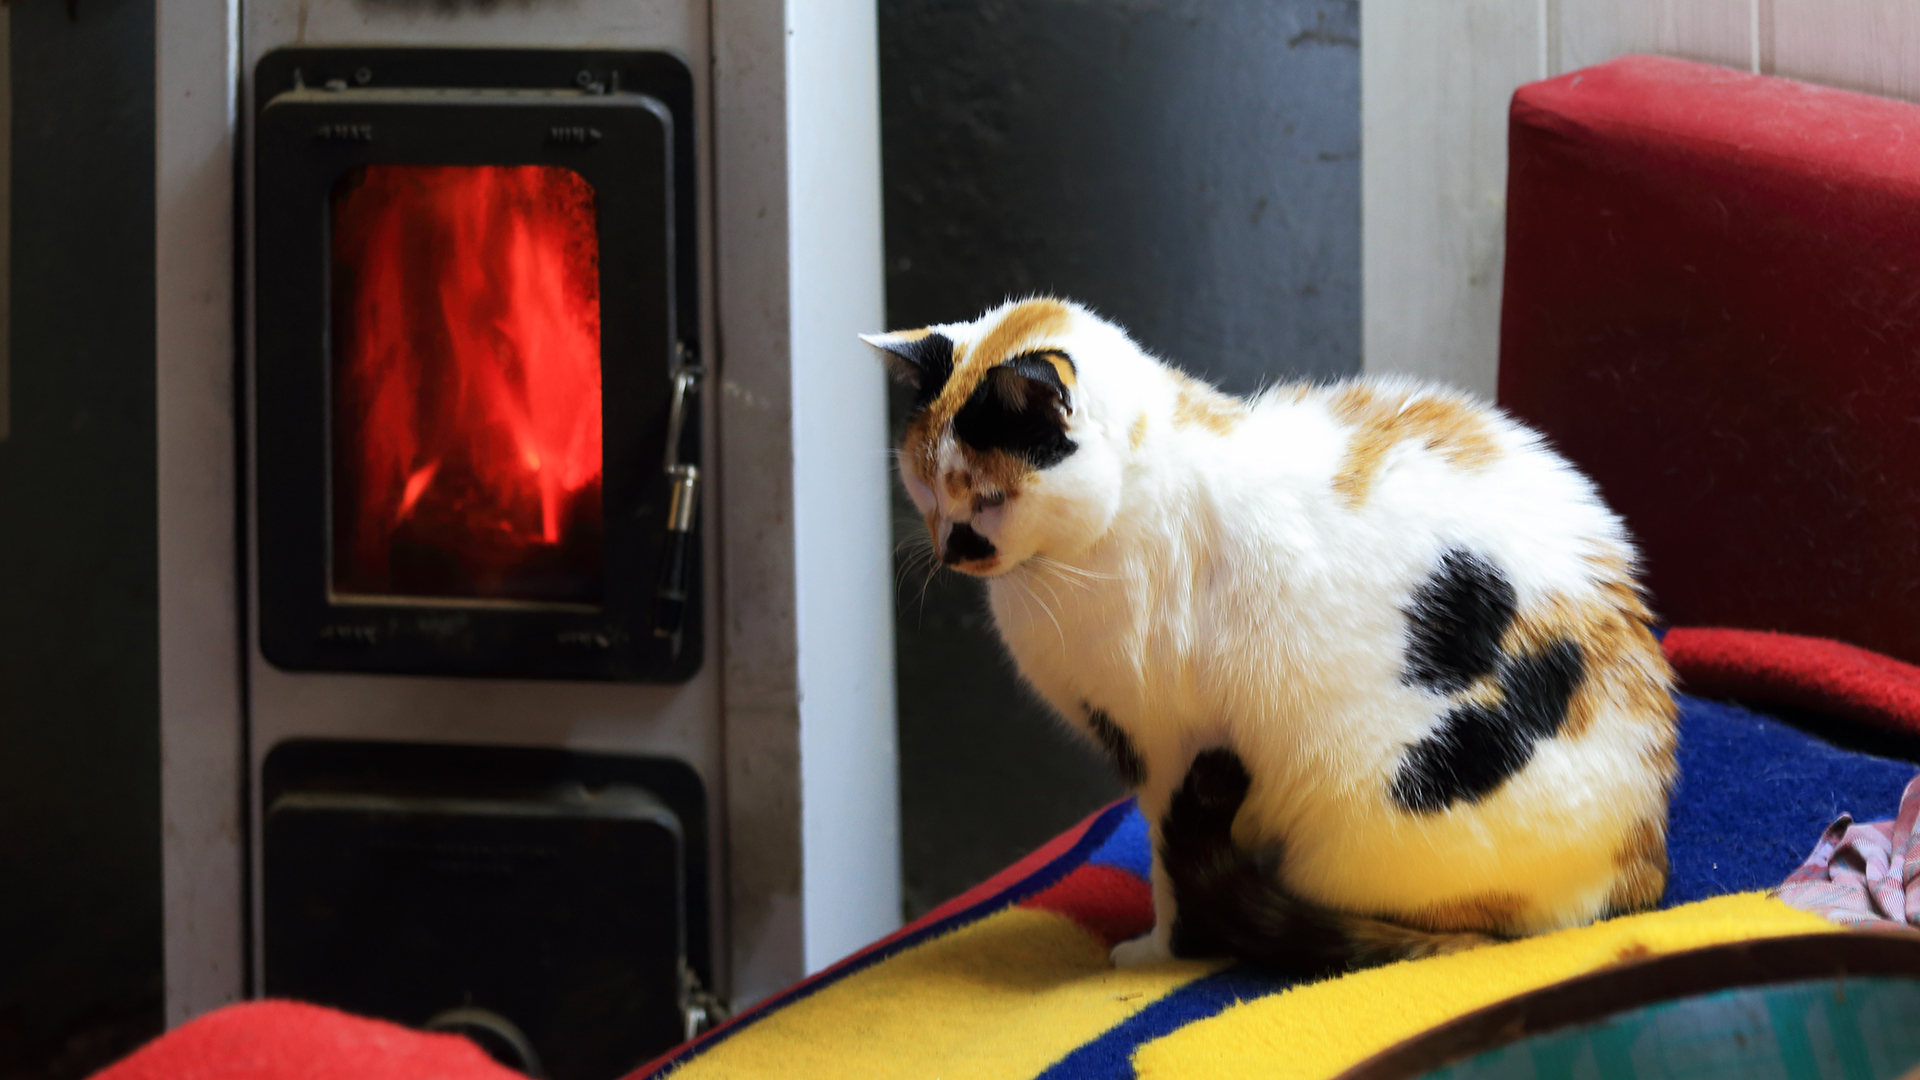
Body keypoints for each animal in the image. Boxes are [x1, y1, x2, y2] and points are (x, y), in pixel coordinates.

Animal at [871, 294, 1681, 976]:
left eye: (989, 497)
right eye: (924, 487)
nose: (953, 548)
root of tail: (1638, 869)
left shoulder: (1166, 748)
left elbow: (1169, 866)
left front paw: (1160, 950)